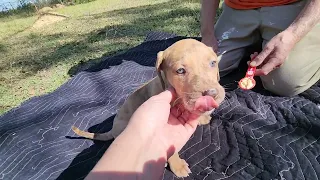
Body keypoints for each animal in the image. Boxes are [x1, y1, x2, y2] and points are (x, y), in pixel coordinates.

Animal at [70, 38, 225, 177]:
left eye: (213, 63)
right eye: (180, 70)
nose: (212, 94)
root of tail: (113, 130)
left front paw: (202, 118)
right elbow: (171, 147)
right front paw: (177, 166)